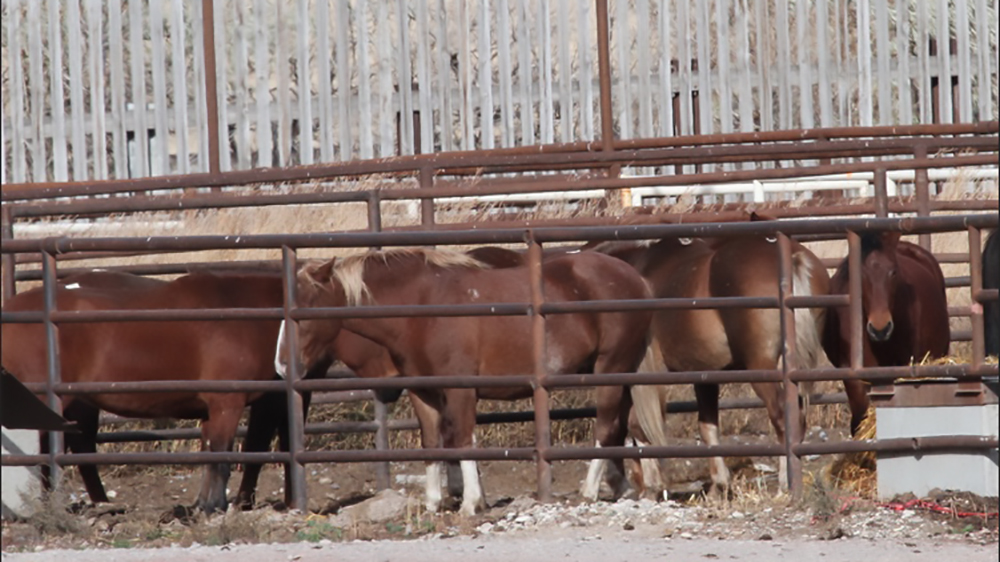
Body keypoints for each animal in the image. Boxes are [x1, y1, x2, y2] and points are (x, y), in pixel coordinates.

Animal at [277, 247, 653, 515]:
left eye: (305, 312)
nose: (281, 366)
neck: (421, 309)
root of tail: (635, 279)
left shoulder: (461, 390)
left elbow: (461, 440)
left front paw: (472, 502)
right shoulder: (424, 393)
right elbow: (432, 443)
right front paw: (433, 502)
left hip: (610, 369)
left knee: (605, 427)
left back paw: (589, 490)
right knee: (621, 424)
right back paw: (621, 486)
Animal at [591, 233, 830, 499]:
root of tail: (793, 258)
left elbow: (635, 425)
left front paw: (650, 486)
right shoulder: (704, 375)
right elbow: (707, 427)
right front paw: (719, 485)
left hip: (762, 367)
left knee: (782, 416)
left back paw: (784, 484)